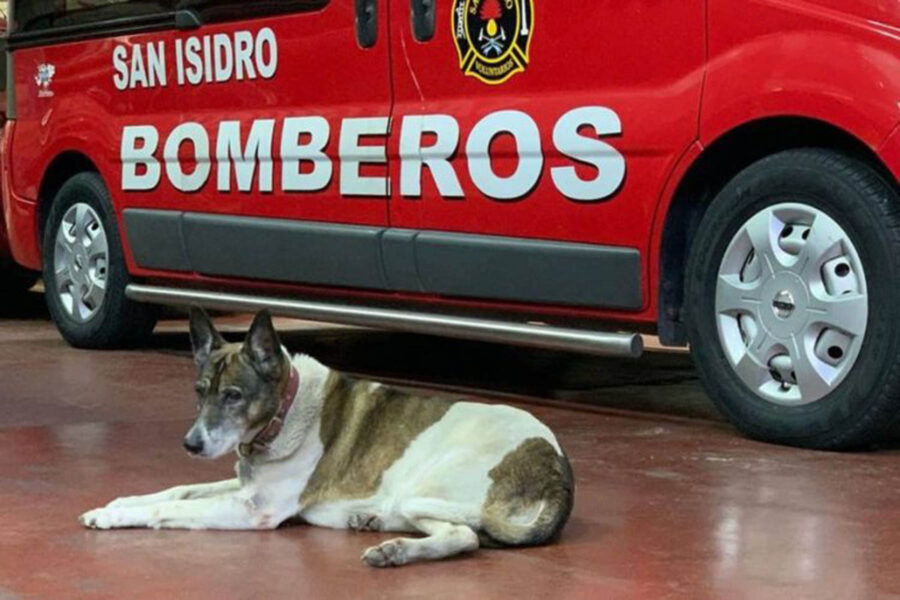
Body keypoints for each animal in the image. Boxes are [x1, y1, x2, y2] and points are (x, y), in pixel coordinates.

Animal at [81, 310, 572, 568]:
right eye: (200, 392)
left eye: (233, 395)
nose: (191, 444)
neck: (284, 413)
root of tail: (557, 470)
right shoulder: (245, 484)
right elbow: (177, 489)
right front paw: (121, 501)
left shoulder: (253, 509)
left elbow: (168, 508)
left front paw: (115, 517)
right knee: (460, 533)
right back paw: (381, 533)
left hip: (424, 488)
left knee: (465, 535)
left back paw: (393, 546)